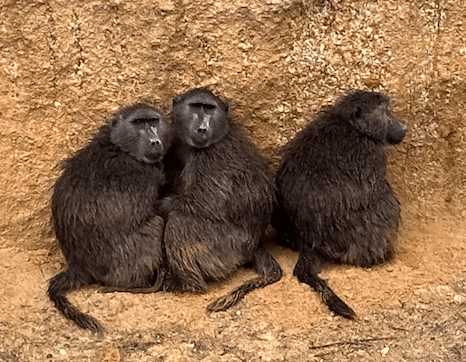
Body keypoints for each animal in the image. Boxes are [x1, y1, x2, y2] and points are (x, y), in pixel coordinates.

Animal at [47, 103, 172, 332]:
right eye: (138, 123)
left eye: (153, 121)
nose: (154, 141)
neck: (119, 147)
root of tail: (78, 265)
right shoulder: (146, 175)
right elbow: (155, 207)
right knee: (156, 224)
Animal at [157, 88, 282, 312]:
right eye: (195, 107)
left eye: (209, 108)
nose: (202, 128)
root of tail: (255, 244)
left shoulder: (211, 157)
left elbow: (208, 200)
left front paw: (160, 204)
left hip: (228, 247)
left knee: (180, 223)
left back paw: (188, 284)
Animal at [274, 90, 406, 320]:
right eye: (386, 112)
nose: (403, 128)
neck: (351, 124)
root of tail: (309, 241)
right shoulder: (370, 154)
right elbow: (375, 195)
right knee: (386, 207)